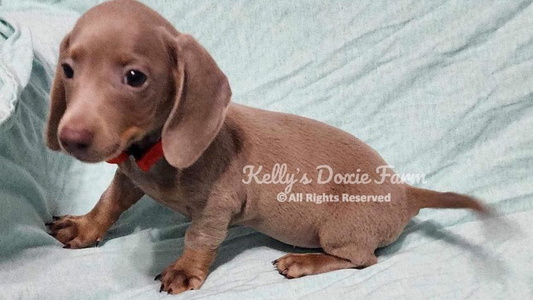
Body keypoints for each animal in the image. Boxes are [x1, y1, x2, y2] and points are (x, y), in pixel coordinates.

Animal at [44, 0, 486, 296]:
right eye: (68, 69)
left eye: (135, 77)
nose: (71, 138)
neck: (152, 153)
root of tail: (406, 192)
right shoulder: (129, 176)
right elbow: (109, 202)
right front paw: (84, 227)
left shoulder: (218, 206)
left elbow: (198, 237)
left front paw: (184, 271)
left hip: (339, 229)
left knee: (363, 259)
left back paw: (303, 261)